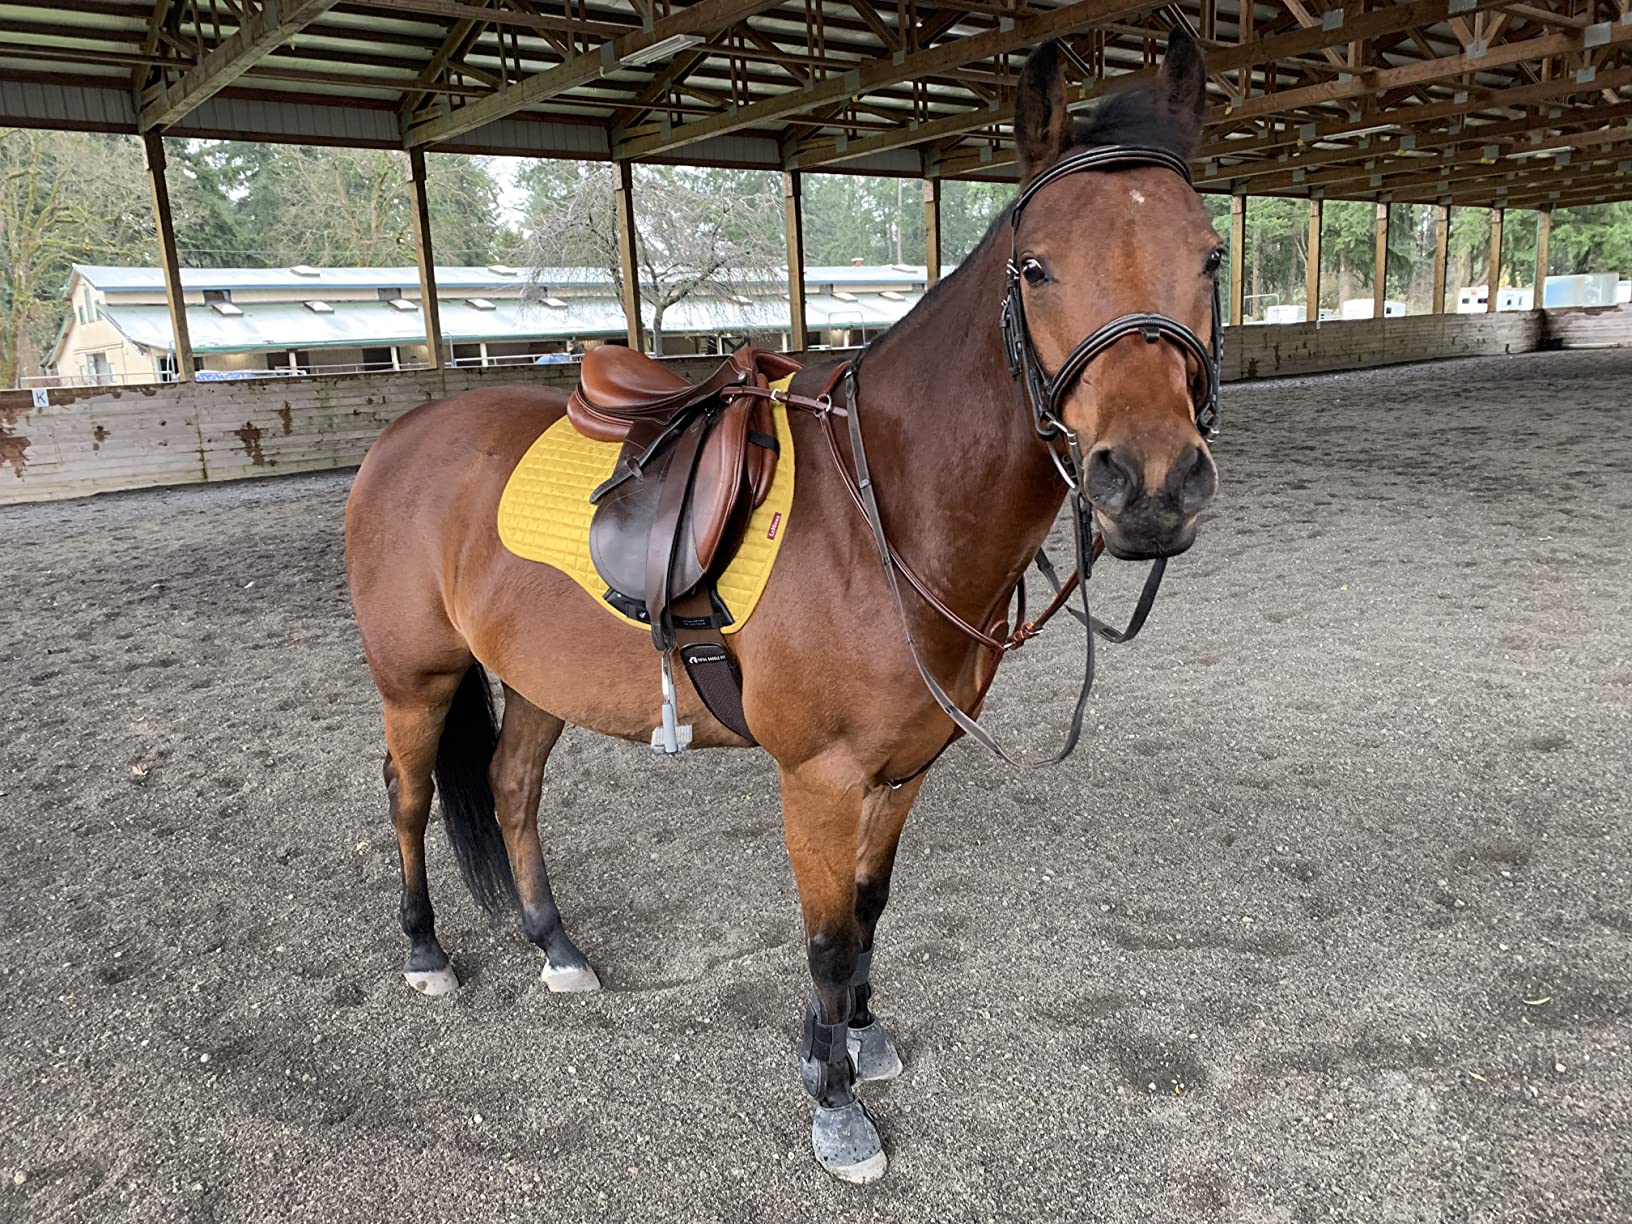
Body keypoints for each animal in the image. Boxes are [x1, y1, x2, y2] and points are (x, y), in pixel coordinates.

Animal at [344, 31, 1221, 1183]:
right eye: (1036, 267)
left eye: (1211, 256)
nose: (1152, 484)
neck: (885, 513)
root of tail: (401, 441)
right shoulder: (820, 777)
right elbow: (826, 936)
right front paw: (832, 1099)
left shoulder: (904, 767)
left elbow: (870, 909)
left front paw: (860, 1038)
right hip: (419, 677)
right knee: (409, 798)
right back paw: (424, 950)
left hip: (537, 680)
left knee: (511, 787)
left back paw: (557, 947)